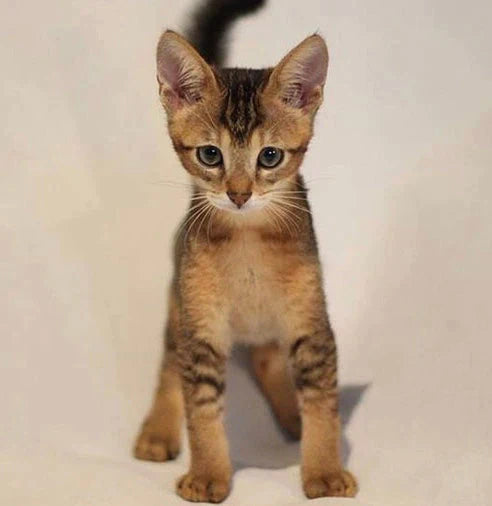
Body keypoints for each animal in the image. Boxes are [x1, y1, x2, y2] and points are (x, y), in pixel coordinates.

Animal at [135, 0, 358, 502]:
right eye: (210, 155)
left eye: (270, 156)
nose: (238, 194)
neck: (248, 241)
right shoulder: (200, 330)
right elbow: (201, 412)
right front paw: (207, 475)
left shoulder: (313, 323)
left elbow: (323, 403)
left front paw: (324, 471)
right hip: (179, 303)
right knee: (168, 363)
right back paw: (157, 430)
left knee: (265, 356)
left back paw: (290, 413)